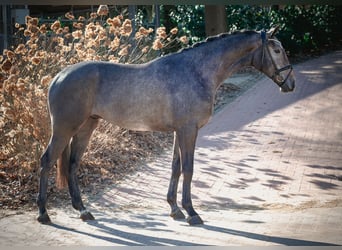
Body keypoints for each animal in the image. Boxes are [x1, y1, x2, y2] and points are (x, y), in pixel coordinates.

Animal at [36, 27, 294, 225]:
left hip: (85, 127)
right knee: (47, 161)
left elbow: (175, 167)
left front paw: (174, 209)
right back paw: (43, 213)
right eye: (277, 50)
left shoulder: (179, 132)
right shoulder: (188, 130)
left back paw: (83, 210)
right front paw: (191, 212)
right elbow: (188, 169)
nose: (291, 84)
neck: (196, 71)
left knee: (72, 164)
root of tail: (58, 77)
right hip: (64, 130)